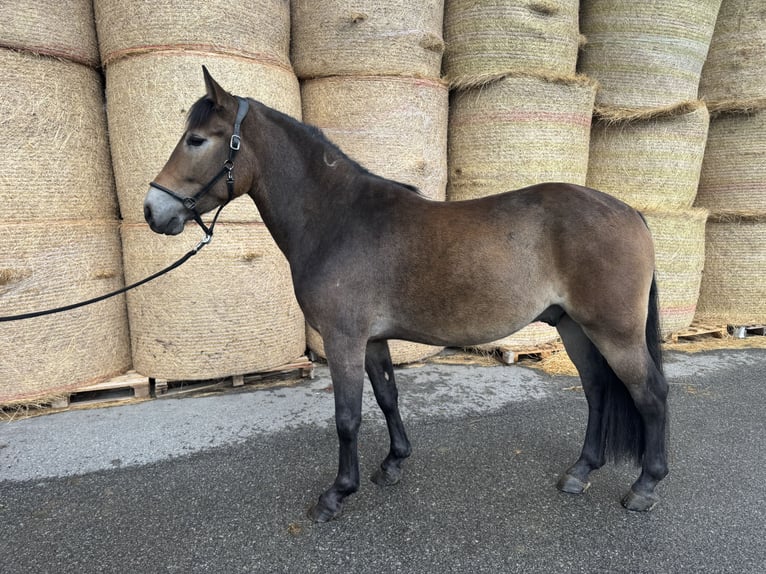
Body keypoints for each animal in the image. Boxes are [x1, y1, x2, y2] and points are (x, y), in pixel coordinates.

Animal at [144, 68, 668, 523]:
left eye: (196, 140)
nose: (152, 211)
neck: (338, 220)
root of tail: (630, 212)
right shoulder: (373, 340)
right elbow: (388, 398)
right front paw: (393, 463)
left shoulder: (344, 339)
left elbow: (348, 417)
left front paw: (336, 494)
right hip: (574, 327)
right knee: (598, 389)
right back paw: (580, 472)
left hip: (614, 332)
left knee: (650, 394)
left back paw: (645, 486)